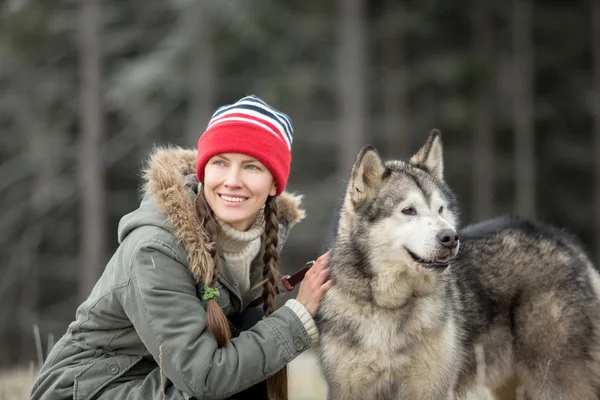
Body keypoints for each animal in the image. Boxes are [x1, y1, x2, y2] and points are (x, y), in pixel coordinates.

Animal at [316, 130, 600, 398]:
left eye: (440, 209)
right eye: (408, 210)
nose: (450, 237)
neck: (389, 307)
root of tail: (564, 240)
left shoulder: (430, 389)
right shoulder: (347, 389)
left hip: (555, 380)